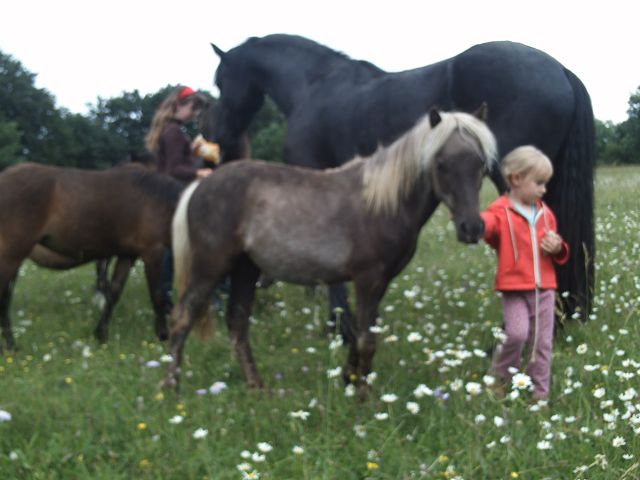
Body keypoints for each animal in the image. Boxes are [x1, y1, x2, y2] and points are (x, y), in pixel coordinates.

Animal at [0, 162, 184, 352]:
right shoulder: (153, 252)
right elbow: (158, 294)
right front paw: (163, 335)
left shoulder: (127, 255)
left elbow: (113, 293)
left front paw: (101, 334)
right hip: (11, 255)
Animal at [162, 107, 497, 393]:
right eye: (441, 164)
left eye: (480, 164)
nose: (471, 228)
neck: (383, 203)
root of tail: (200, 185)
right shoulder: (367, 280)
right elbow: (366, 341)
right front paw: (363, 397)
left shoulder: (379, 283)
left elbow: (362, 333)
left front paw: (349, 380)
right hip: (210, 267)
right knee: (181, 318)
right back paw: (171, 391)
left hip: (246, 268)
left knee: (237, 324)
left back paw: (257, 388)